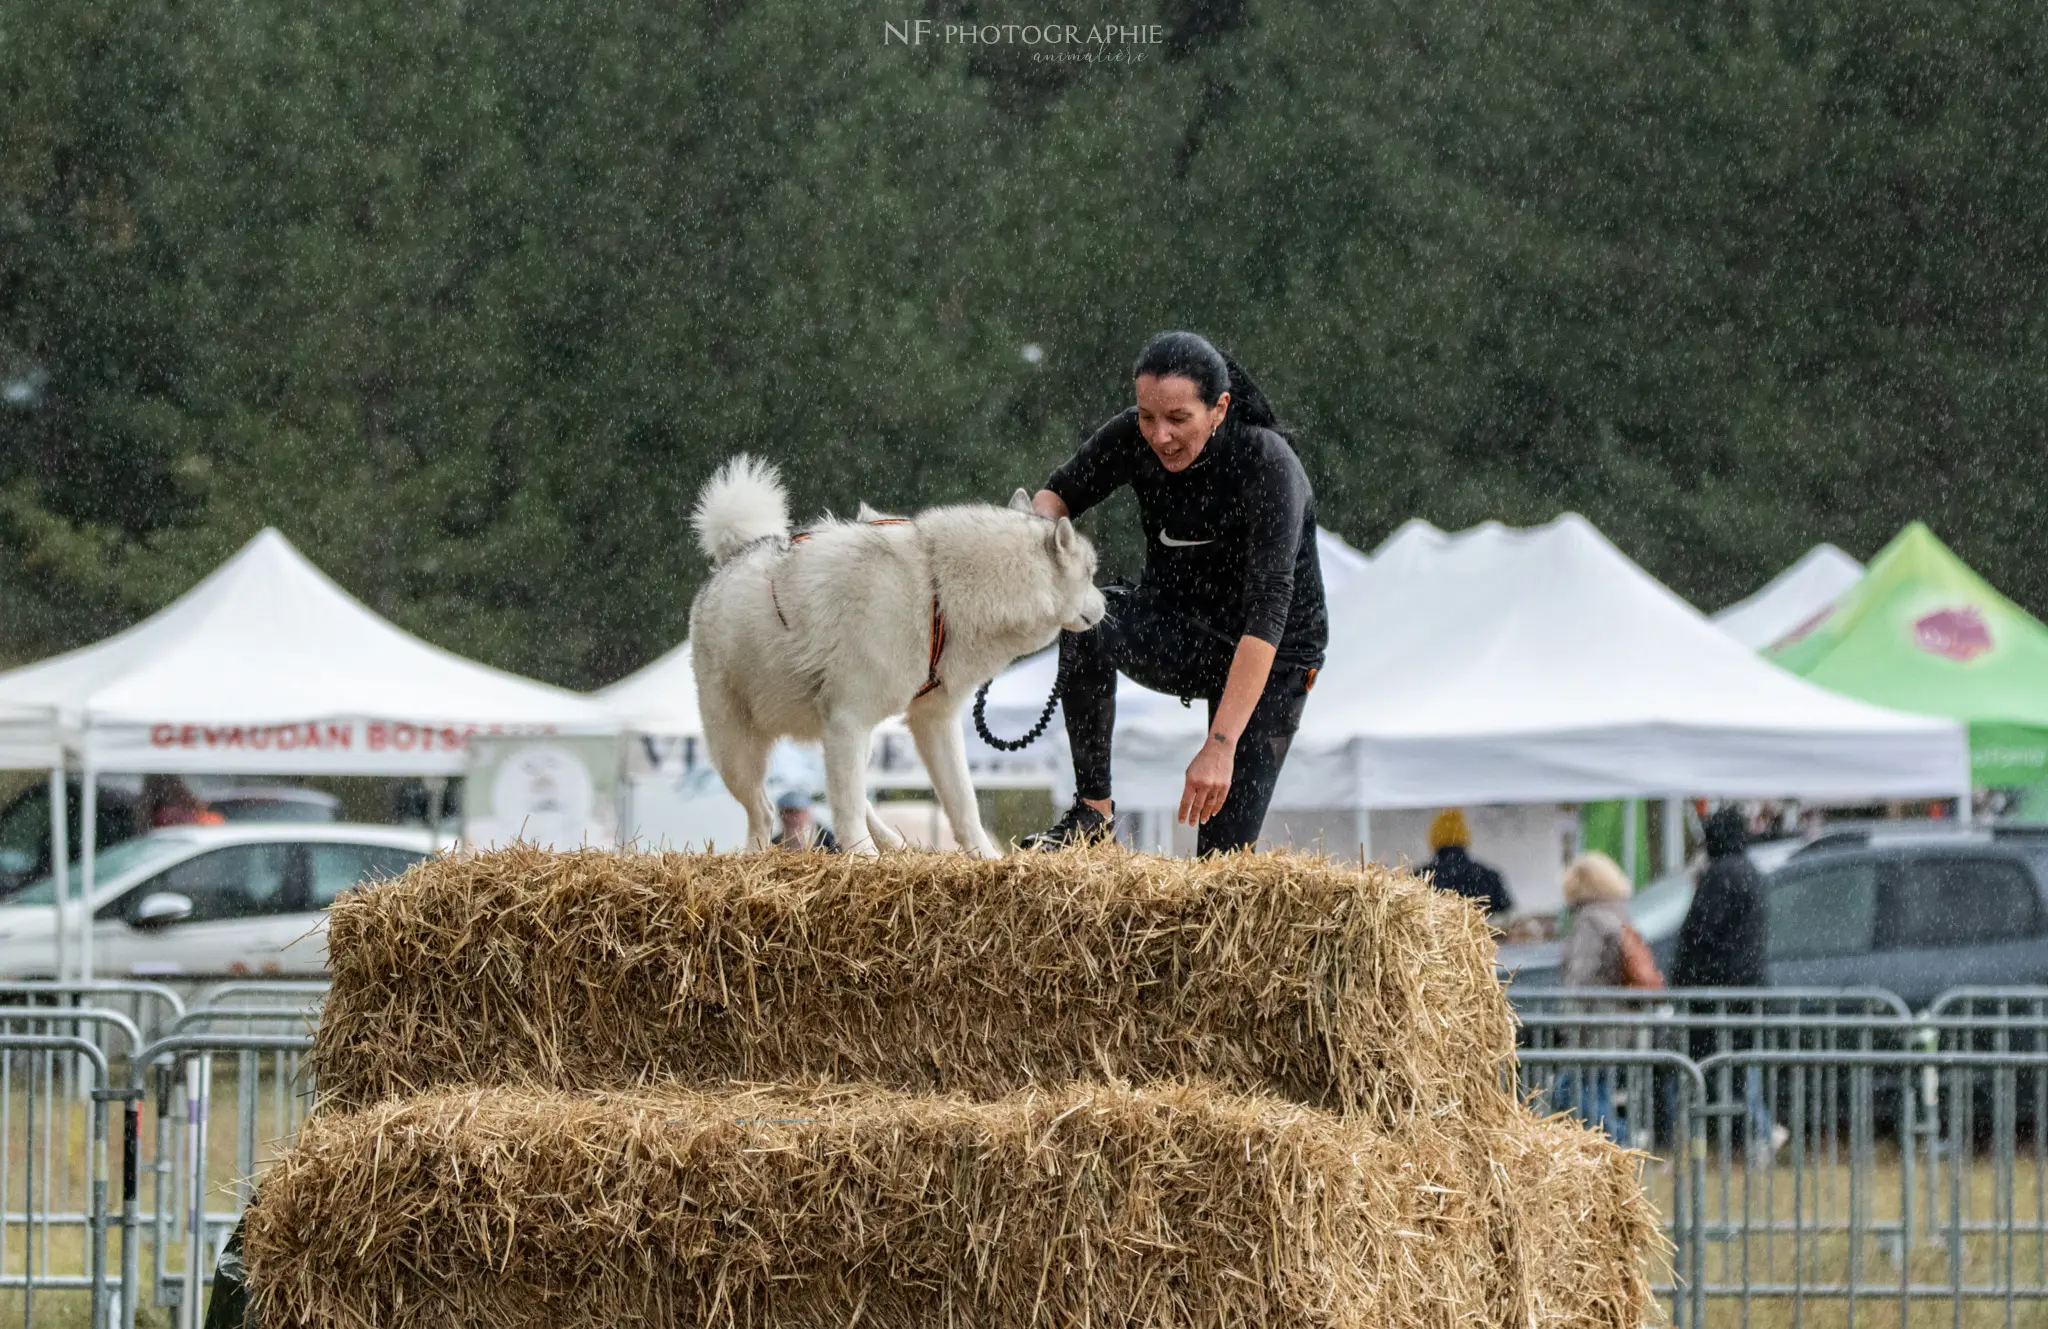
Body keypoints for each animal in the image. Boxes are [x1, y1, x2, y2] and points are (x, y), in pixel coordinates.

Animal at [688, 452, 1105, 851]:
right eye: (1090, 575)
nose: (1107, 604)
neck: (938, 593)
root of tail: (735, 556)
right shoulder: (849, 720)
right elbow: (849, 810)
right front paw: (862, 857)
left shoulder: (932, 721)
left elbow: (963, 804)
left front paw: (987, 858)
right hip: (739, 753)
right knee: (764, 809)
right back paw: (755, 855)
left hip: (848, 739)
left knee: (845, 795)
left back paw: (893, 842)